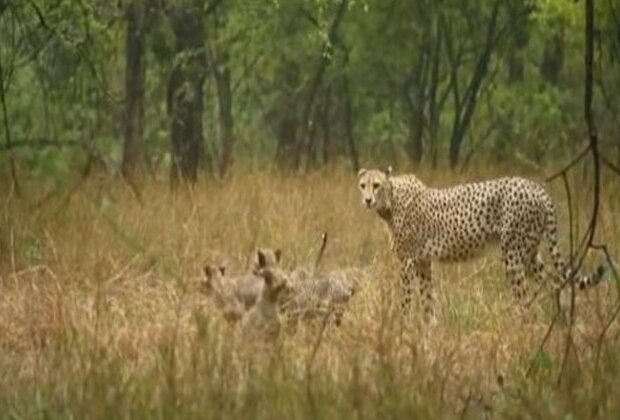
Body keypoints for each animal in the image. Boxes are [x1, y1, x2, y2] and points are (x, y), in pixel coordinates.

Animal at [358, 166, 604, 320]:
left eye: (376, 185)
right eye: (362, 185)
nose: (367, 200)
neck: (391, 201)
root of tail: (537, 188)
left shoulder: (408, 261)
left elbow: (407, 299)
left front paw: (403, 328)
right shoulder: (423, 262)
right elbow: (427, 299)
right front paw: (428, 331)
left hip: (513, 255)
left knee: (525, 296)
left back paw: (524, 329)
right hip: (530, 253)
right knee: (553, 282)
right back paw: (559, 322)